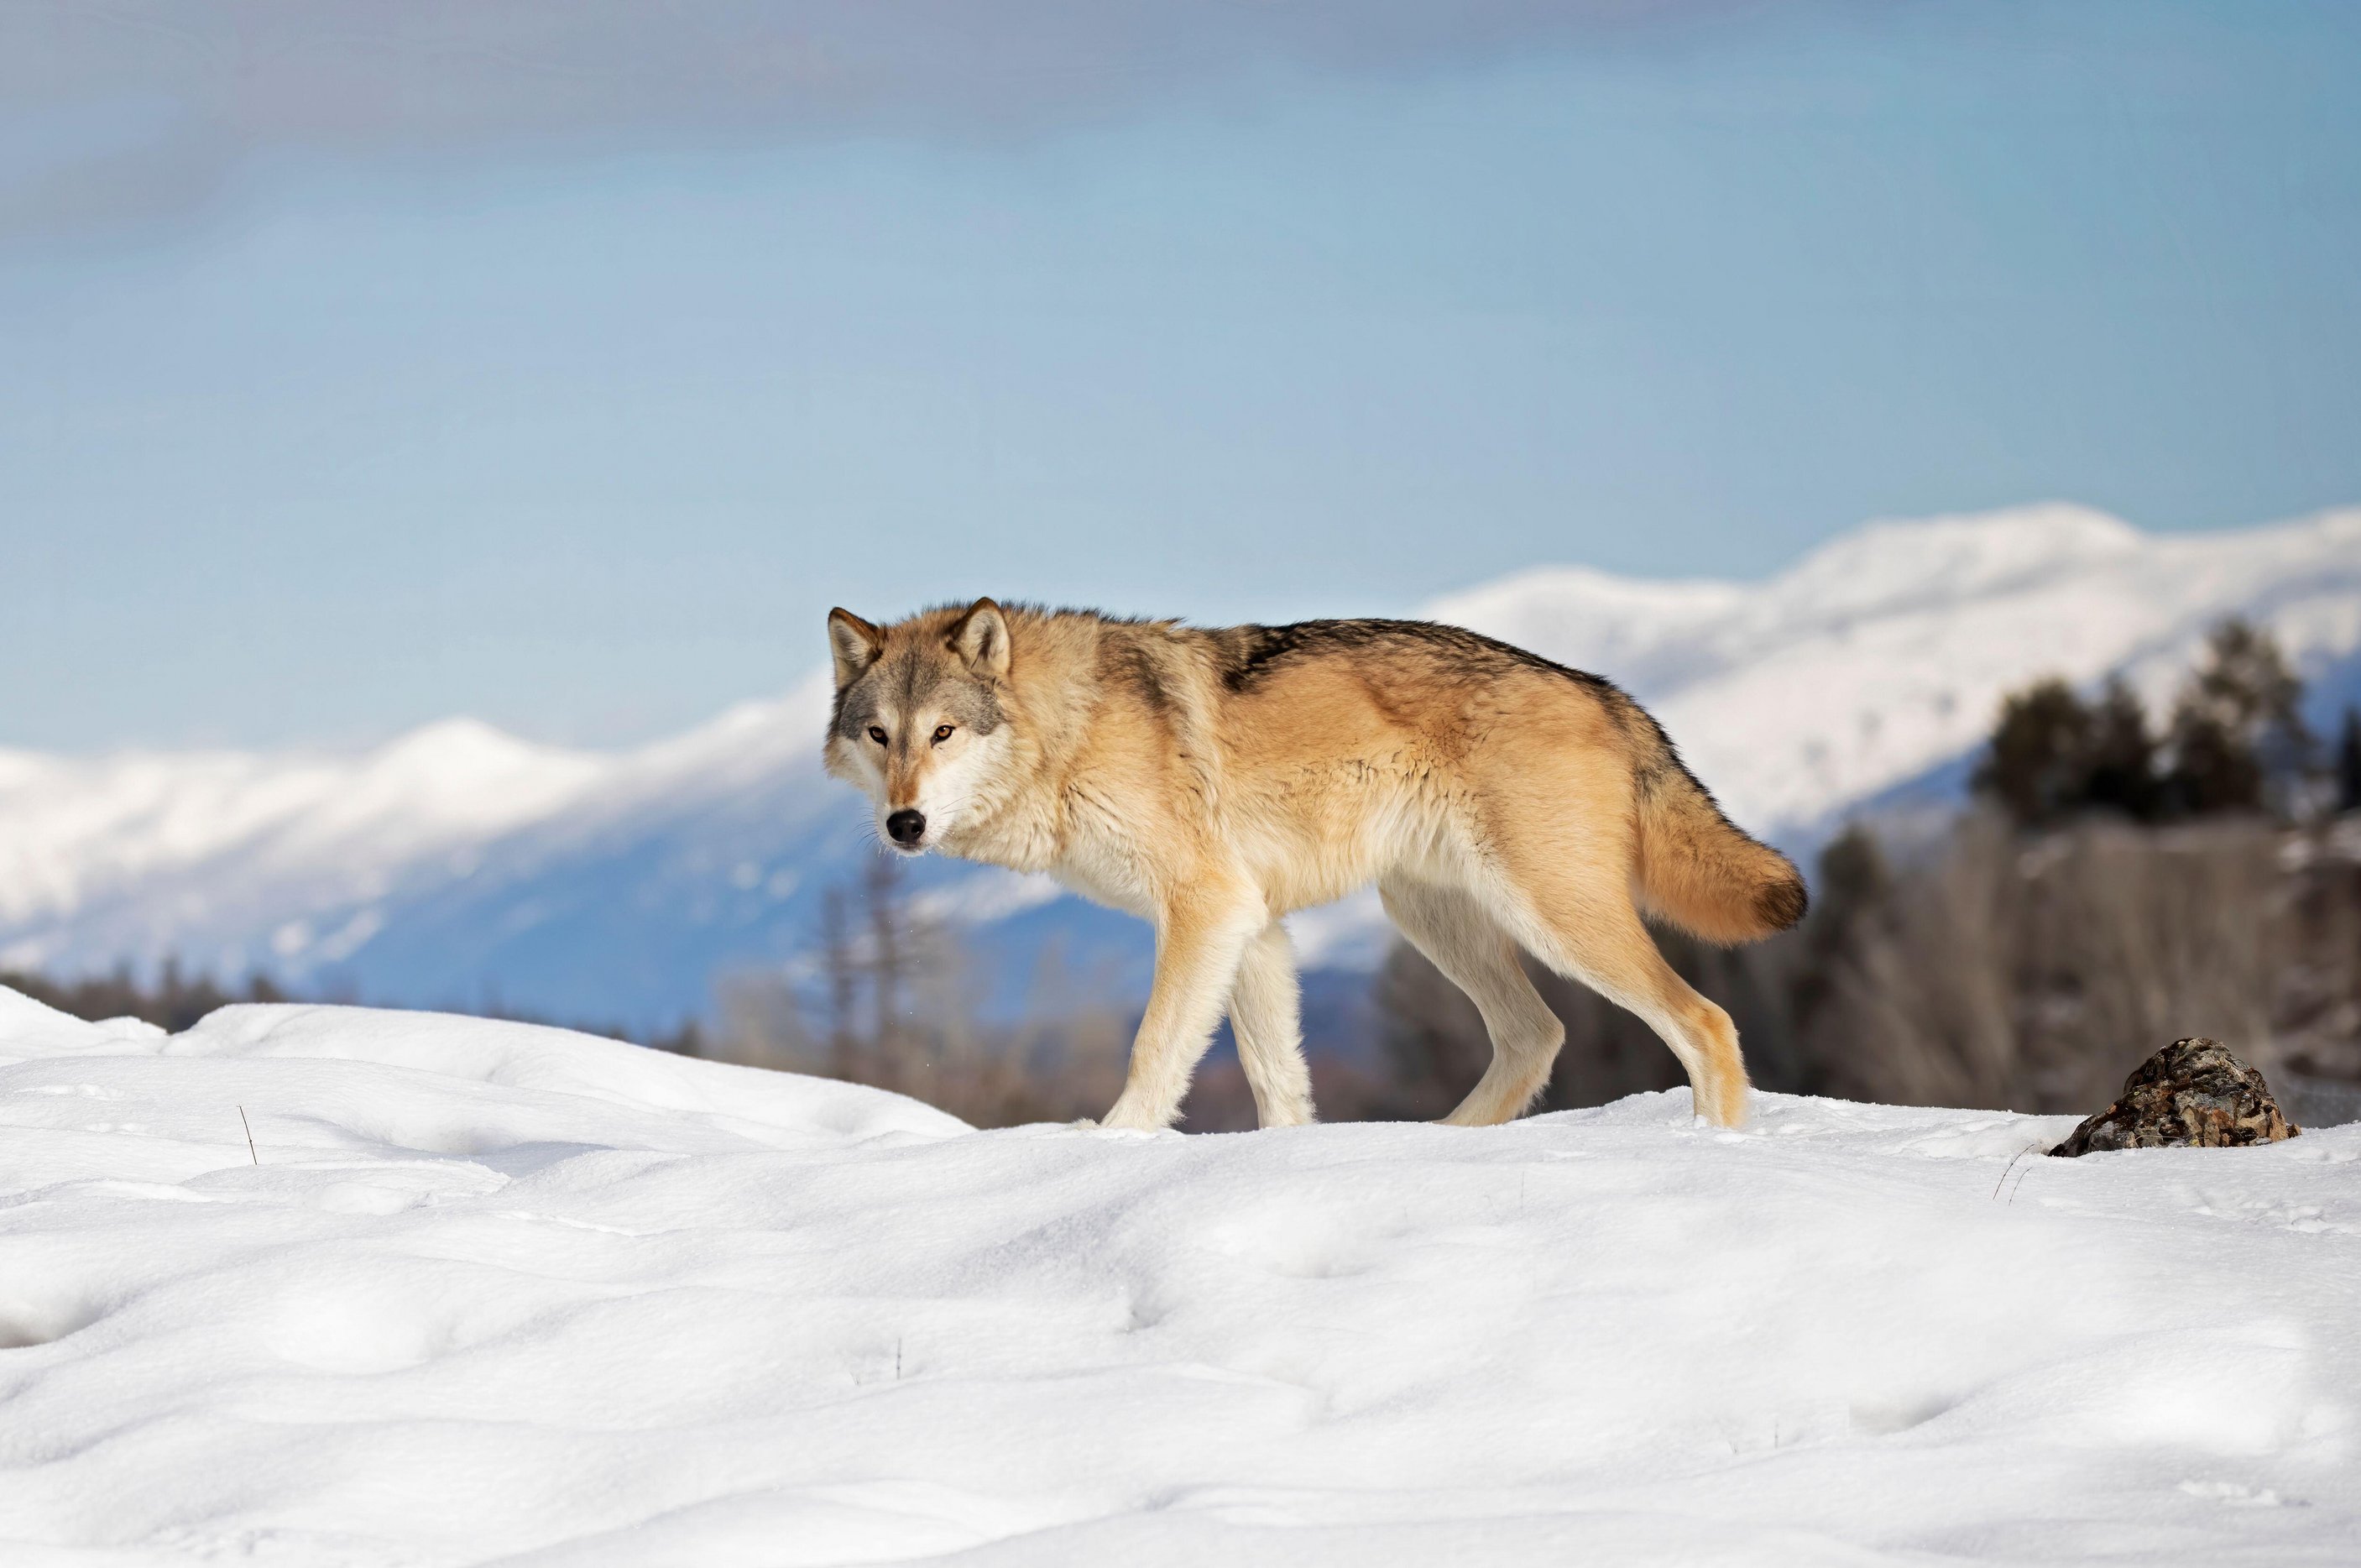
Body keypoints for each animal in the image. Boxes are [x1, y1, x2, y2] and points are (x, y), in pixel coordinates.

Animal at [822, 599, 1806, 1132]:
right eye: (879, 735)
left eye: (943, 732)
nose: (903, 822)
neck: (1067, 728)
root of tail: (1602, 689)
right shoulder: (1253, 926)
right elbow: (1276, 1081)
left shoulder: (1209, 908)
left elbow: (1154, 1049)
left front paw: (1108, 1146)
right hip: (1435, 918)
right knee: (1538, 1035)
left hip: (1552, 916)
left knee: (1706, 1021)